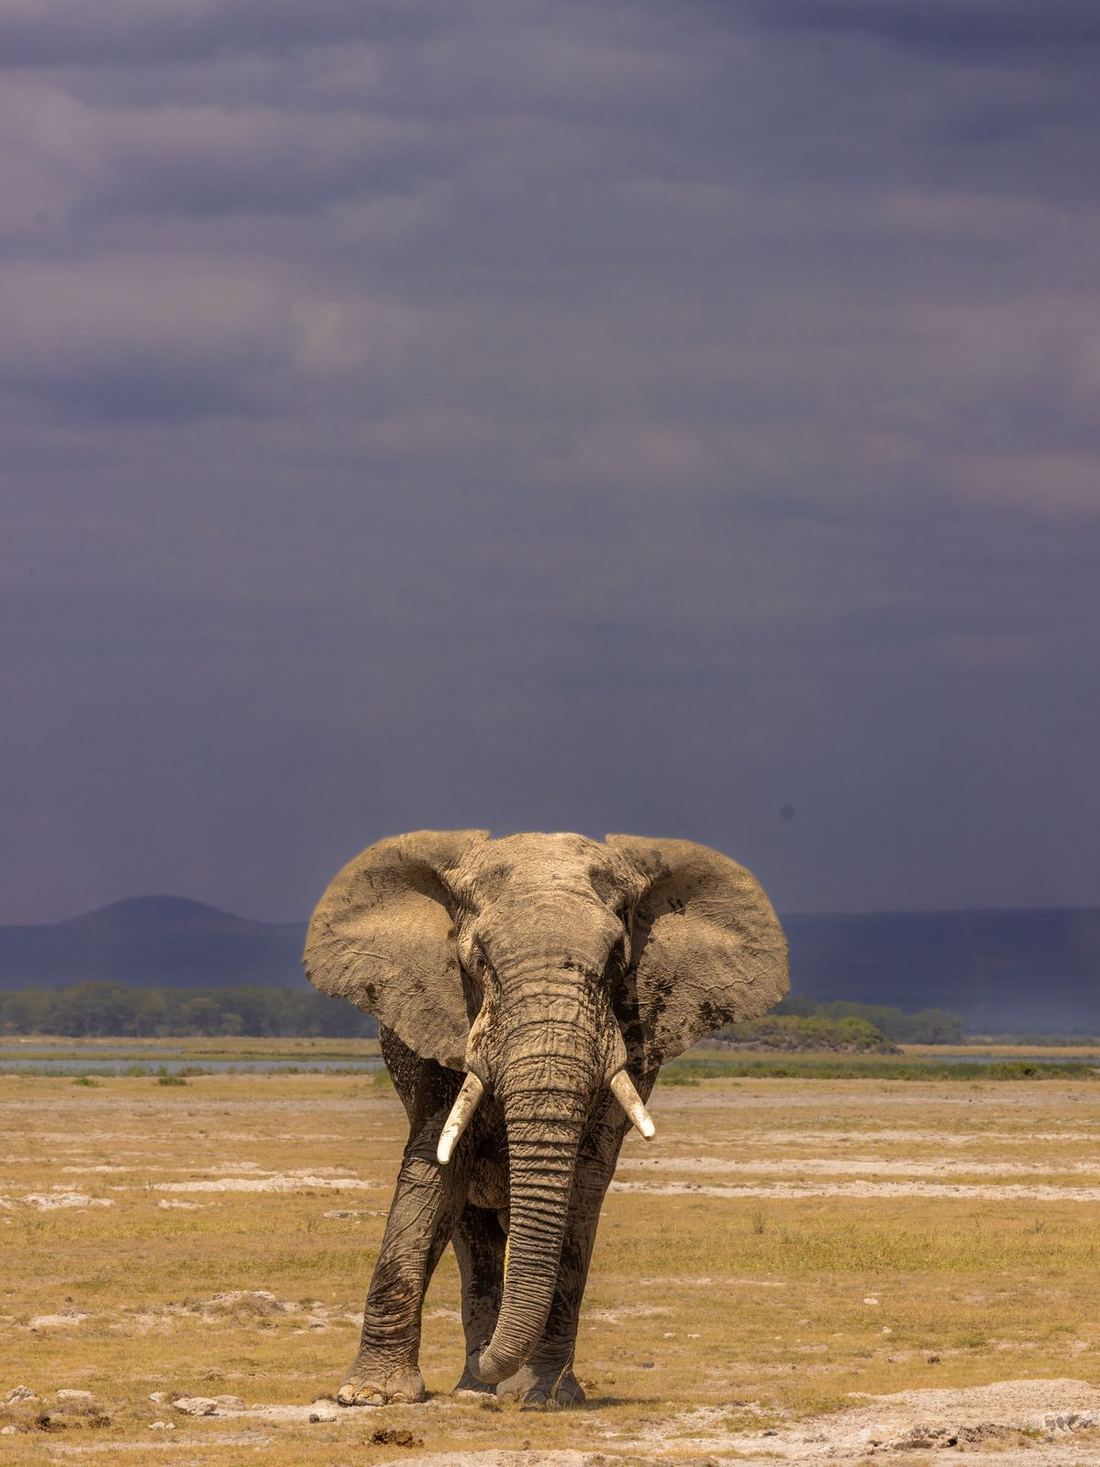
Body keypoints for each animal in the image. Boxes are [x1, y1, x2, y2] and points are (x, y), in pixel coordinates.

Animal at [303, 830, 788, 1407]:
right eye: (479, 960)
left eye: (617, 961)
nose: (498, 1374)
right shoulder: (442, 1029)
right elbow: (436, 1171)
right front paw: (370, 1396)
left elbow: (583, 1182)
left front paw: (543, 1397)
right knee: (474, 1233)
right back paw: (476, 1384)